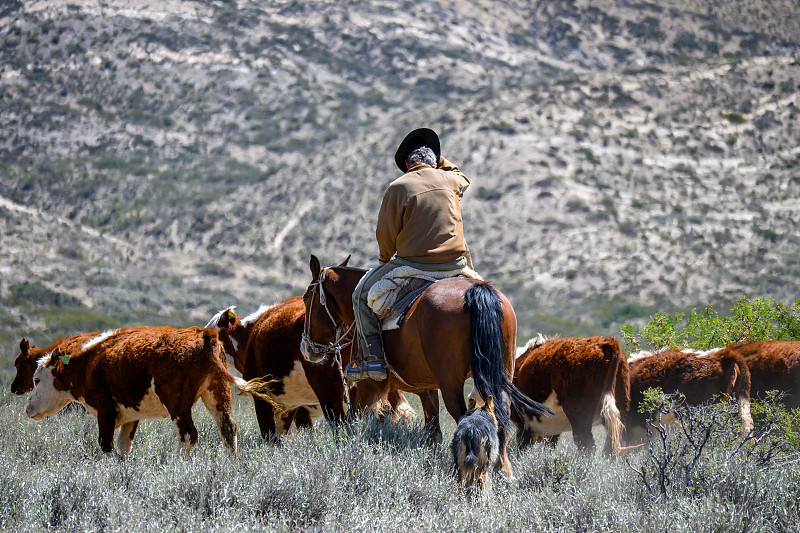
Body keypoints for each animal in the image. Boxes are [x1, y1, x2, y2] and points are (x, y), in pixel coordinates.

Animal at [27, 326, 253, 456]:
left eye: (36, 380)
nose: (28, 407)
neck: (90, 363)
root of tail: (203, 335)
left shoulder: (105, 408)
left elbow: (106, 445)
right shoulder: (130, 415)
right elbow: (124, 445)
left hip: (176, 403)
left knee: (188, 435)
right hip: (218, 392)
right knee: (228, 429)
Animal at [300, 254, 552, 448]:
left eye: (306, 298)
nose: (306, 348)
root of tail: (475, 292)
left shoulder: (370, 386)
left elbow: (351, 422)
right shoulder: (427, 389)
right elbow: (433, 433)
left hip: (451, 383)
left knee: (465, 420)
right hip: (499, 376)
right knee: (500, 420)